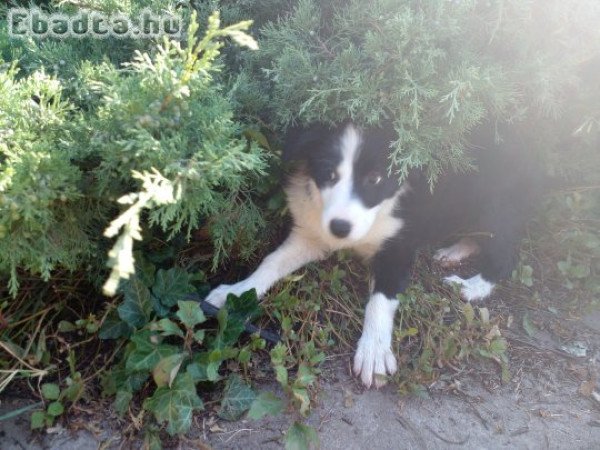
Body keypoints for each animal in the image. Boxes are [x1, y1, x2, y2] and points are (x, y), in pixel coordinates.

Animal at [207, 121, 540, 388]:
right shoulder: (312, 234)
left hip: (497, 204)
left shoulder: (398, 247)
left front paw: (374, 352)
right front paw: (236, 292)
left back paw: (472, 285)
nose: (340, 228)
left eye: (376, 179)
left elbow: (380, 301)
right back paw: (454, 250)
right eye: (329, 174)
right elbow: (271, 262)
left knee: (506, 253)